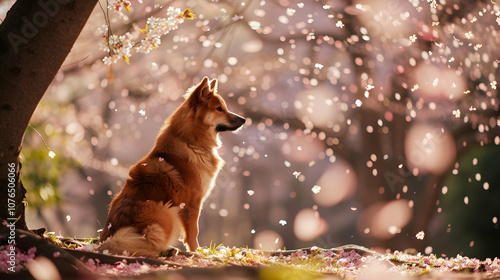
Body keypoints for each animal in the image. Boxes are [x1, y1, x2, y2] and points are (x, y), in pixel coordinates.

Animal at [98, 76, 245, 256]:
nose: (244, 119)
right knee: (147, 247)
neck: (191, 142)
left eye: (225, 107)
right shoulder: (192, 203)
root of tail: (106, 241)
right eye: (219, 109)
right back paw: (165, 251)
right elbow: (193, 232)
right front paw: (197, 251)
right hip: (166, 211)